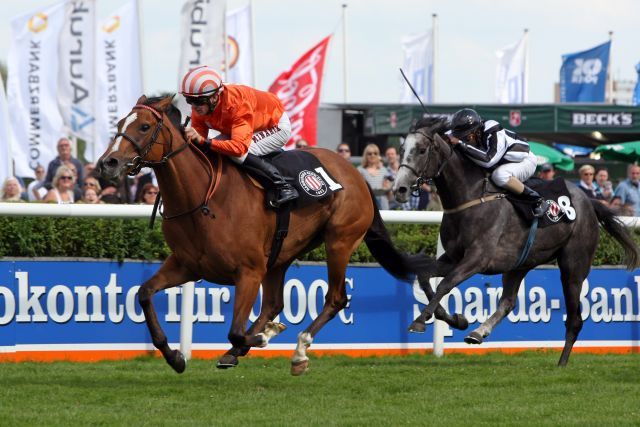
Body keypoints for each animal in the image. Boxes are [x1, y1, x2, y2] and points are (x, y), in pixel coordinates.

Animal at [97, 95, 424, 376]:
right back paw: (244, 348)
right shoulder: (187, 265)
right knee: (274, 304)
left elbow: (235, 330)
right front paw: (175, 356)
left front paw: (263, 338)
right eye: (119, 124)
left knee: (335, 298)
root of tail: (355, 174)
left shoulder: (249, 271)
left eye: (144, 126)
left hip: (339, 241)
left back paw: (298, 351)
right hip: (281, 253)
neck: (202, 199)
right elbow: (144, 293)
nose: (107, 163)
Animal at [390, 117, 640, 368]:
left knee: (574, 319)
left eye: (422, 150)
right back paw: (478, 332)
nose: (399, 189)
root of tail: (588, 200)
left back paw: (561, 364)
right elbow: (425, 278)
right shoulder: (453, 258)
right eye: (401, 150)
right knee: (508, 302)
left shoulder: (477, 258)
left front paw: (421, 320)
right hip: (519, 264)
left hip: (573, 266)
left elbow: (445, 284)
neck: (471, 198)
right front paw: (456, 320)